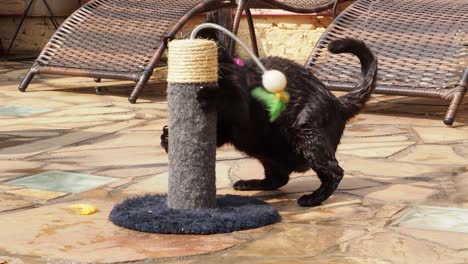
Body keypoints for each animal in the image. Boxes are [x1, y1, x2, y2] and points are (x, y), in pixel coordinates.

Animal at [161, 37, 376, 206]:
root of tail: (337, 102)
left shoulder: (241, 107)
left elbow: (228, 99)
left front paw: (207, 95)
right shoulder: (223, 129)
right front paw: (167, 137)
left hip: (307, 134)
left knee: (334, 172)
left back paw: (312, 199)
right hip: (266, 150)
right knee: (279, 179)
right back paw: (247, 184)